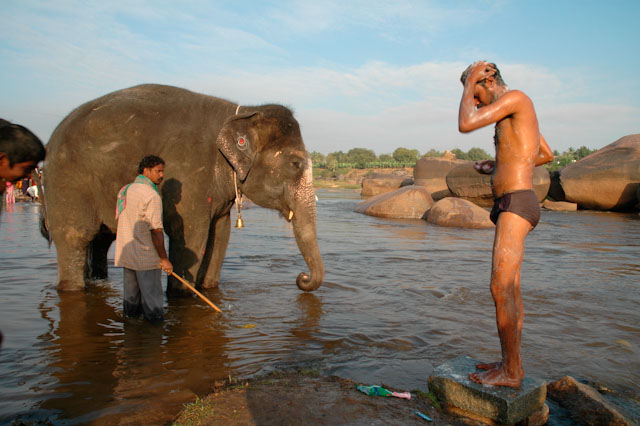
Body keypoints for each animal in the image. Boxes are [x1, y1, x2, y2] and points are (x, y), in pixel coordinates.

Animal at [43, 85, 324, 294]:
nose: (301, 277)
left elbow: (220, 234)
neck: (245, 111)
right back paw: (71, 288)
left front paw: (207, 287)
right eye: (296, 164)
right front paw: (181, 294)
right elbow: (190, 233)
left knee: (101, 240)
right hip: (67, 180)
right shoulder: (188, 174)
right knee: (74, 236)